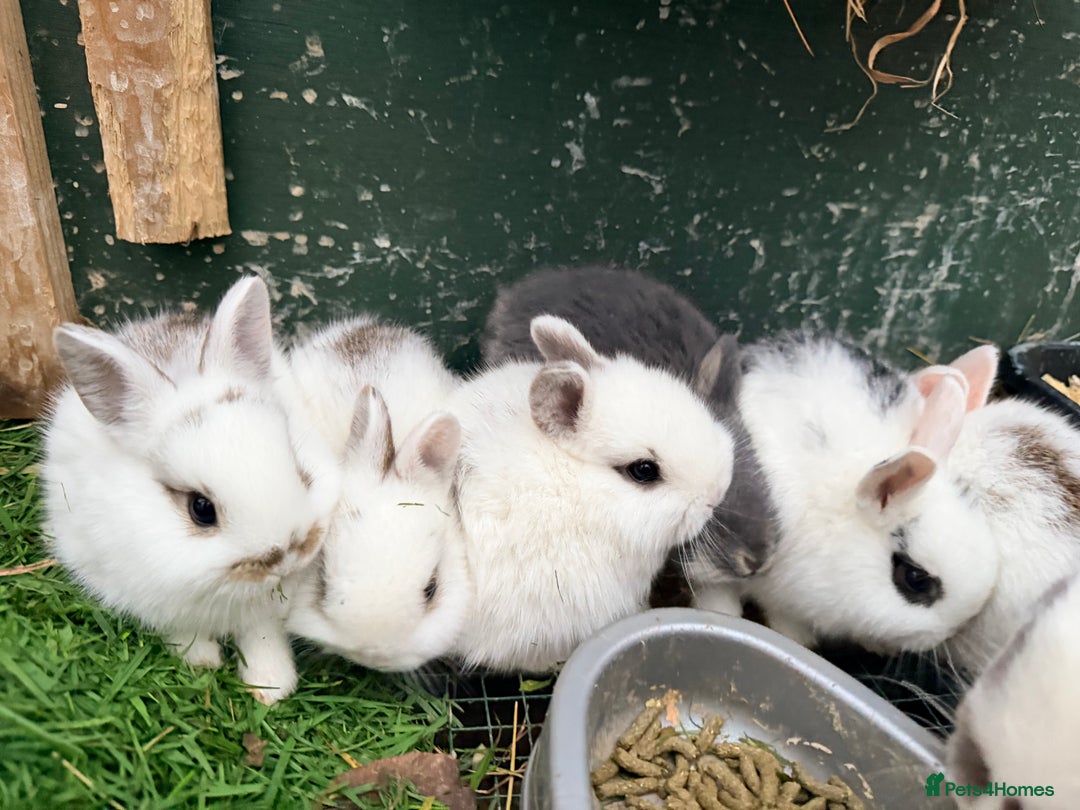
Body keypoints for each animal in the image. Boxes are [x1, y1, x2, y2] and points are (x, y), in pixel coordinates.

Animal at [40, 276, 340, 704]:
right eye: (201, 509)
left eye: (302, 471)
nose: (284, 555)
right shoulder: (157, 598)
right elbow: (185, 633)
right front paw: (203, 662)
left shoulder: (264, 613)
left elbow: (263, 638)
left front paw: (270, 687)